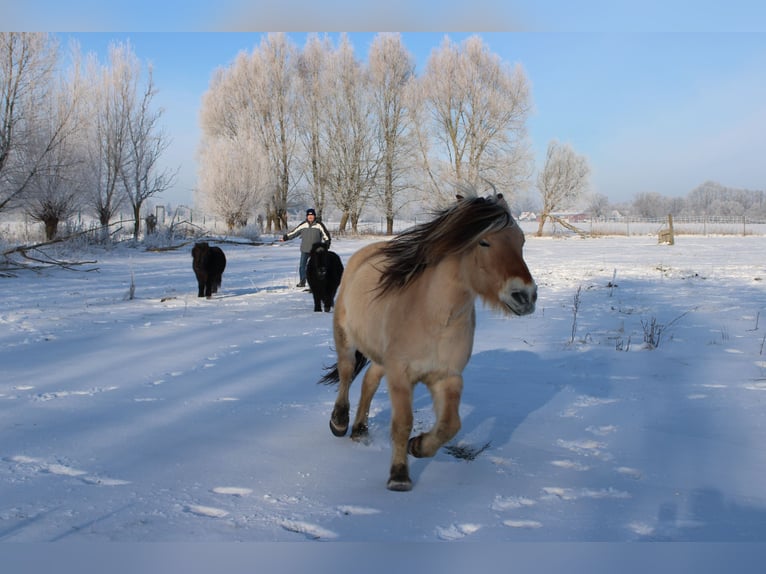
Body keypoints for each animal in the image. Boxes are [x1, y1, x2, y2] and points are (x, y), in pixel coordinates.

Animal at [319, 187, 537, 491]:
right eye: (484, 242)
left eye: (521, 240)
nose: (525, 296)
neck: (434, 317)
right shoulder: (401, 376)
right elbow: (402, 423)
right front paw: (399, 476)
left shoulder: (447, 377)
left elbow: (450, 425)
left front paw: (419, 446)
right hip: (346, 339)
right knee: (347, 373)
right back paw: (339, 423)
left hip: (382, 359)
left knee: (368, 382)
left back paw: (360, 430)